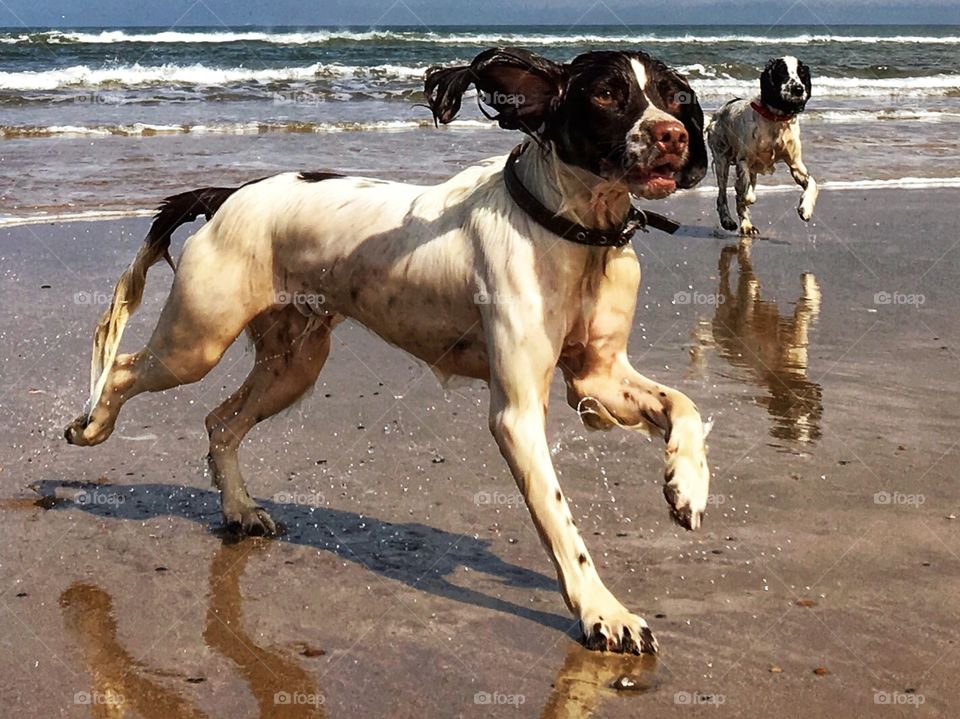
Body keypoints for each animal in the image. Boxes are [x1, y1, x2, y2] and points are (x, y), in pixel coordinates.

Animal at [65, 47, 712, 656]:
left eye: (675, 97)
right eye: (606, 94)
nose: (673, 136)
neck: (575, 234)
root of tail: (227, 194)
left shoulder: (598, 377)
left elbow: (684, 405)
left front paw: (687, 485)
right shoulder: (518, 413)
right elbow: (562, 523)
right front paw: (605, 612)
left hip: (293, 365)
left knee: (220, 422)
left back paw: (240, 510)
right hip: (197, 340)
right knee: (124, 371)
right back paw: (92, 426)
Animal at [704, 57, 816, 236]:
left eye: (802, 73)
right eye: (782, 72)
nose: (798, 89)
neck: (776, 120)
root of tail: (718, 112)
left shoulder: (795, 164)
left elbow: (812, 183)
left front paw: (805, 209)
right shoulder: (743, 161)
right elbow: (747, 194)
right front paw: (745, 197)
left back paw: (746, 225)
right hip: (722, 159)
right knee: (722, 195)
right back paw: (728, 221)